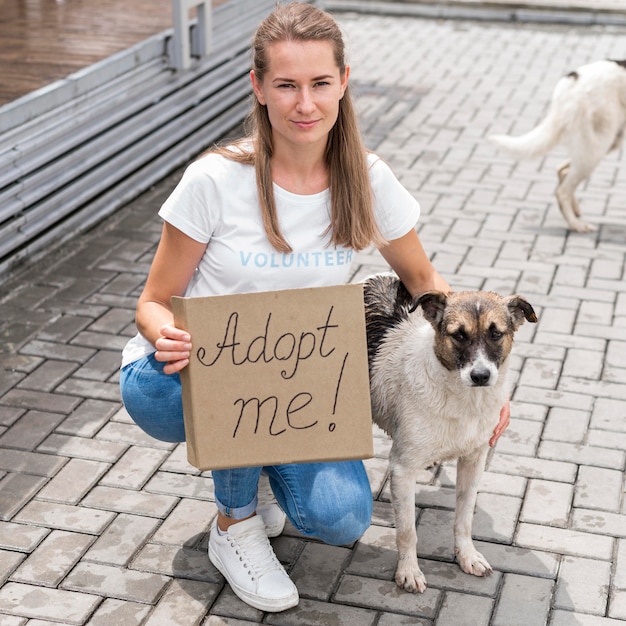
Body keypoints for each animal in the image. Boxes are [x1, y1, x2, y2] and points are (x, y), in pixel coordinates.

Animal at [364, 272, 532, 588]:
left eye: (496, 333)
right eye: (459, 335)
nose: (481, 376)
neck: (462, 400)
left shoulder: (474, 460)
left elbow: (464, 518)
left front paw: (467, 556)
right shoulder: (402, 469)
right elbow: (407, 531)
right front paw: (408, 570)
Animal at [488, 59, 624, 232]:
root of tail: (573, 78)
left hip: (604, 144)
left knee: (562, 170)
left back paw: (575, 211)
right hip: (597, 146)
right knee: (562, 190)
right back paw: (576, 224)